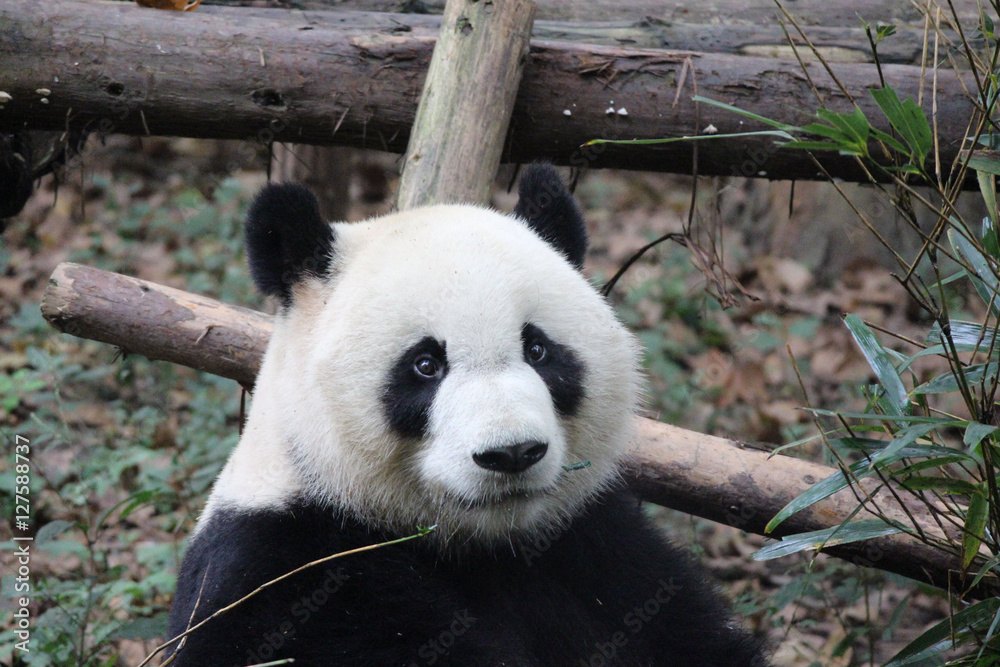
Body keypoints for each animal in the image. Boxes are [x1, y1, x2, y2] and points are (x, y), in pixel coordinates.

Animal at [166, 164, 767, 667]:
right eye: (425, 364)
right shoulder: (284, 569)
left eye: (538, 350)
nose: (512, 453)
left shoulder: (596, 546)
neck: (483, 546)